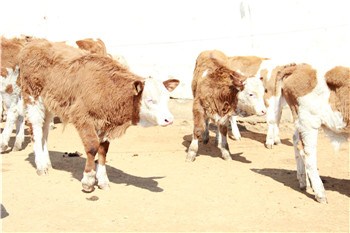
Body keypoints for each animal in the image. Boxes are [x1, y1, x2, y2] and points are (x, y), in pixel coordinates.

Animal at [17, 38, 179, 191]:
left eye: (167, 98)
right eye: (150, 100)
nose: (169, 119)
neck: (106, 88)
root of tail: (35, 43)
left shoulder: (105, 123)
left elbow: (102, 151)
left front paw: (103, 181)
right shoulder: (82, 117)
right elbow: (92, 147)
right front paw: (88, 180)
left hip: (49, 104)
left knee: (44, 130)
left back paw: (47, 162)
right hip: (33, 97)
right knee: (36, 129)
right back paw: (41, 165)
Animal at [264, 62, 348, 203]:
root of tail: (299, 67)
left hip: (301, 123)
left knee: (296, 142)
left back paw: (304, 181)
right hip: (309, 123)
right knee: (308, 153)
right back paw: (320, 193)